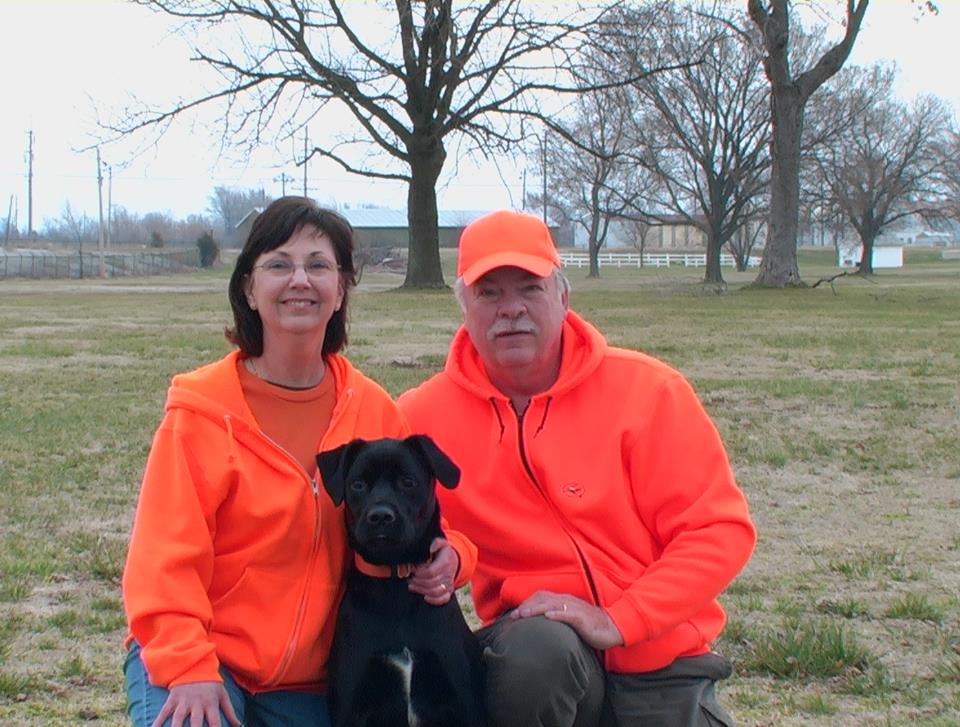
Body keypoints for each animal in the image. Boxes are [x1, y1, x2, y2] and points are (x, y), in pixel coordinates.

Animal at [316, 436, 488, 724]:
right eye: (358, 484)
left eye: (408, 481)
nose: (380, 516)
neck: (394, 582)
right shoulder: (350, 706)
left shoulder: (465, 700)